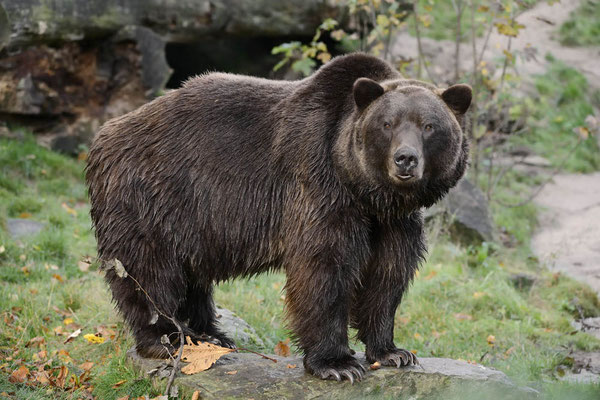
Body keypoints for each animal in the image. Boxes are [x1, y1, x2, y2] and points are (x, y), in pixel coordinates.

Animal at [85, 53, 468, 382]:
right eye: (387, 124)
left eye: (429, 125)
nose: (405, 159)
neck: (368, 194)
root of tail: (105, 134)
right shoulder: (318, 183)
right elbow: (323, 268)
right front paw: (337, 364)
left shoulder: (394, 222)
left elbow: (388, 274)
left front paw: (393, 352)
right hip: (151, 197)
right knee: (149, 271)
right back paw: (169, 337)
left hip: (192, 220)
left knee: (192, 274)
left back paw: (212, 334)